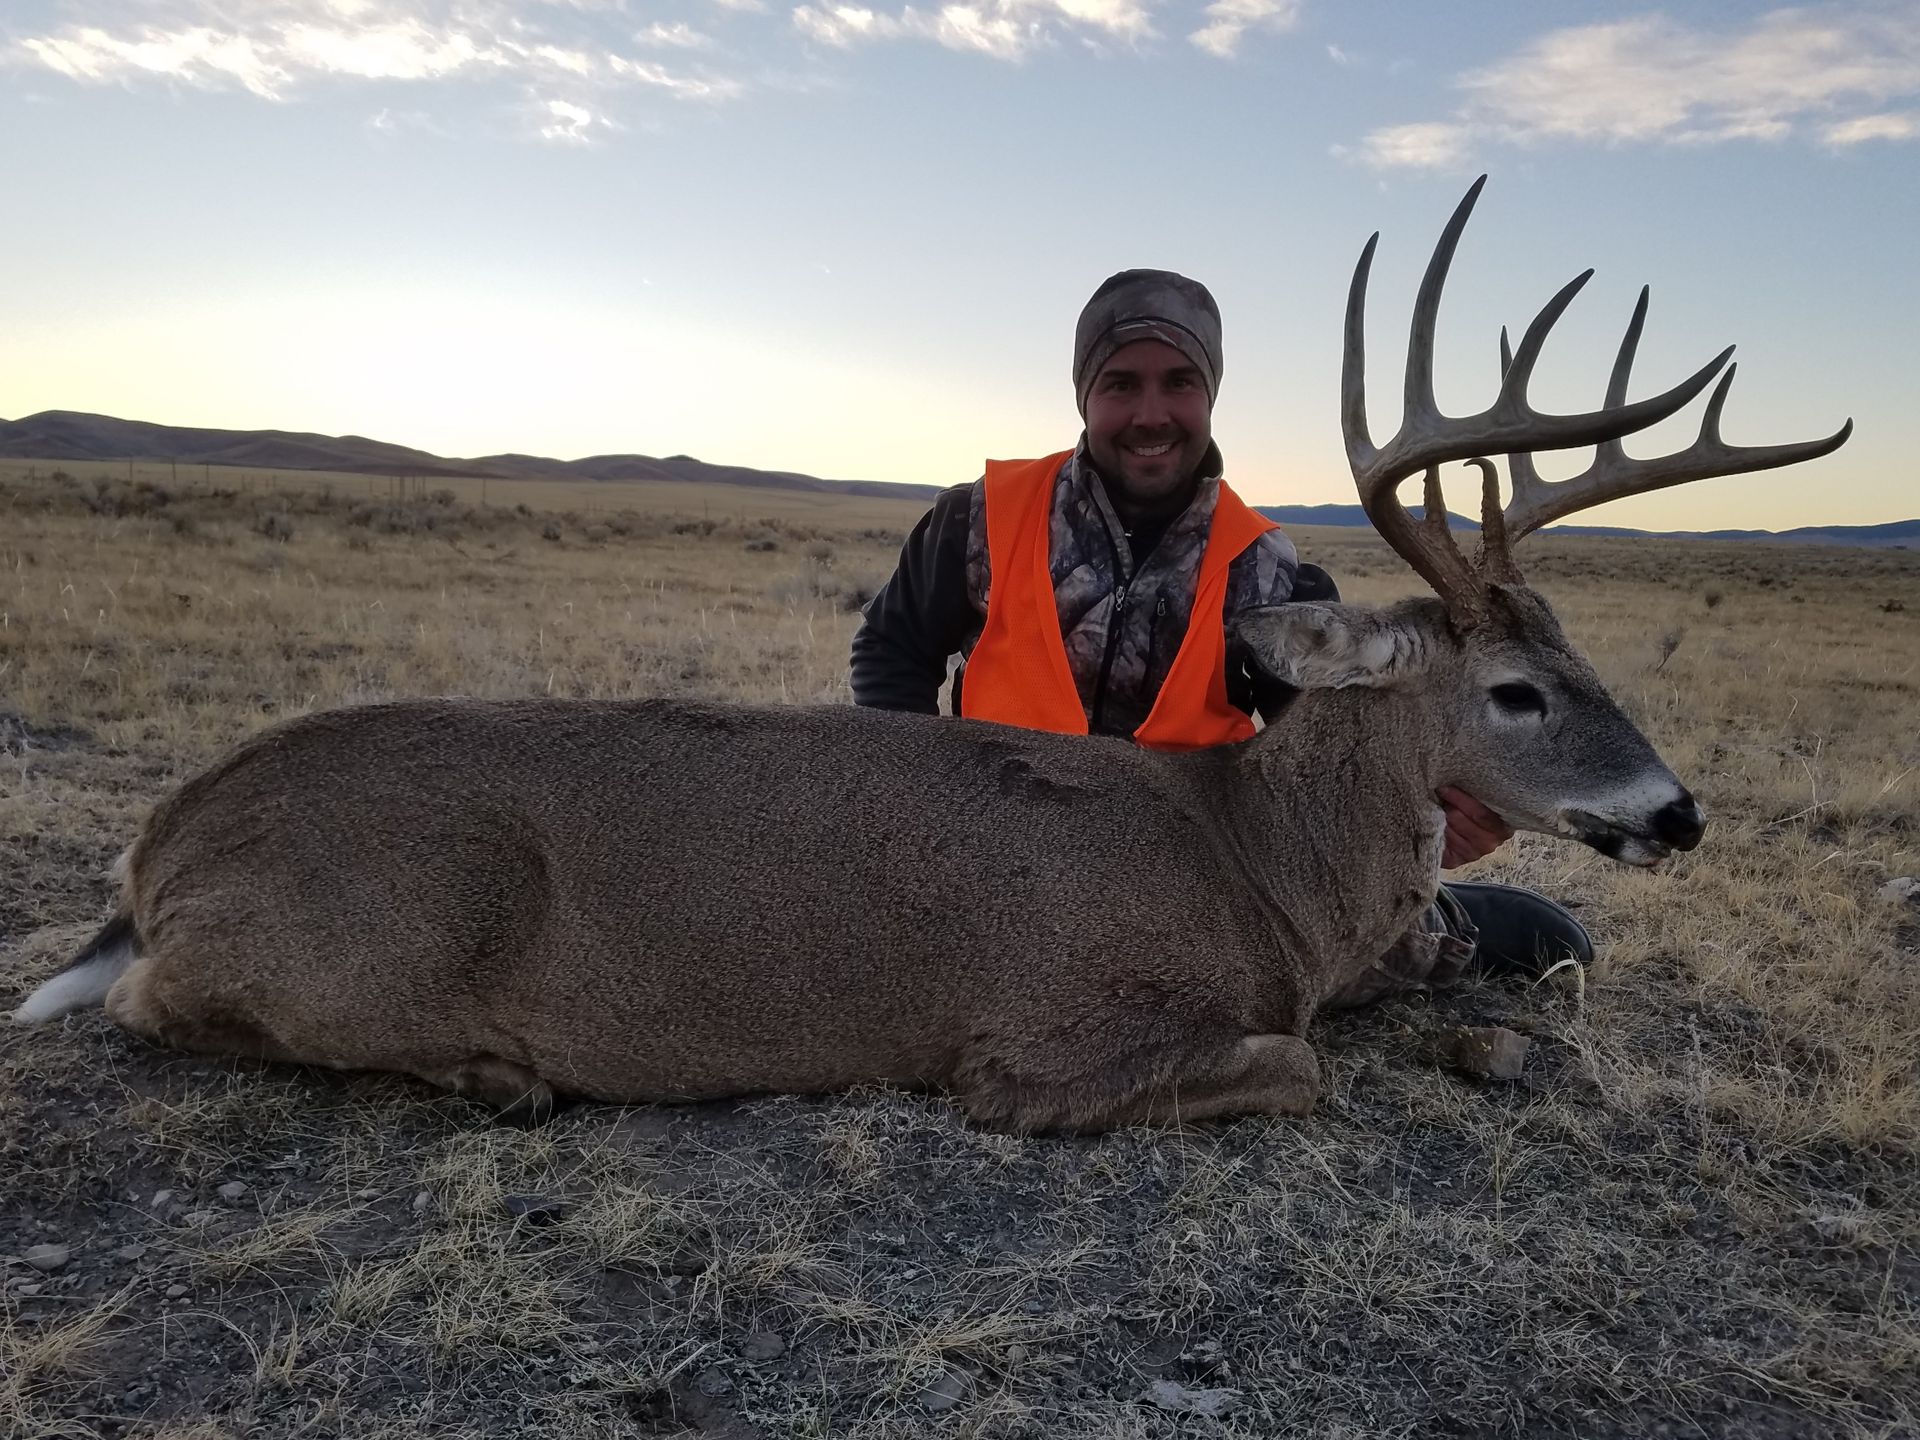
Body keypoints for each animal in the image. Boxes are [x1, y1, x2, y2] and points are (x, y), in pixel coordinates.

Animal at [10, 179, 1849, 1133]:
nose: (1678, 812)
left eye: (1587, 654)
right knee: (152, 1013)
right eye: (1516, 691)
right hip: (381, 928)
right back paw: (491, 1070)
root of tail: (155, 845)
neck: (1255, 866)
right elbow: (1303, 1067)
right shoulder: (1048, 1038)